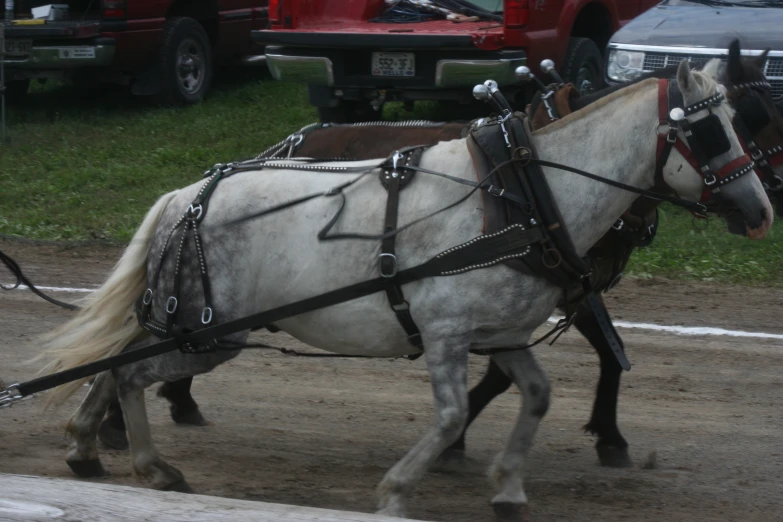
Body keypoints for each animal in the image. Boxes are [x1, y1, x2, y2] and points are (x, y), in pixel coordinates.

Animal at [38, 60, 772, 516]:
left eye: (740, 123)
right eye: (709, 128)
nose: (761, 212)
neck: (525, 196)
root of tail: (185, 195)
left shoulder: (501, 331)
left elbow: (536, 395)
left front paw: (508, 488)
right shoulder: (446, 332)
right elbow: (450, 414)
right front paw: (396, 490)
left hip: (187, 323)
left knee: (119, 359)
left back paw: (86, 443)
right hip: (209, 334)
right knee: (131, 373)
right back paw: (150, 466)